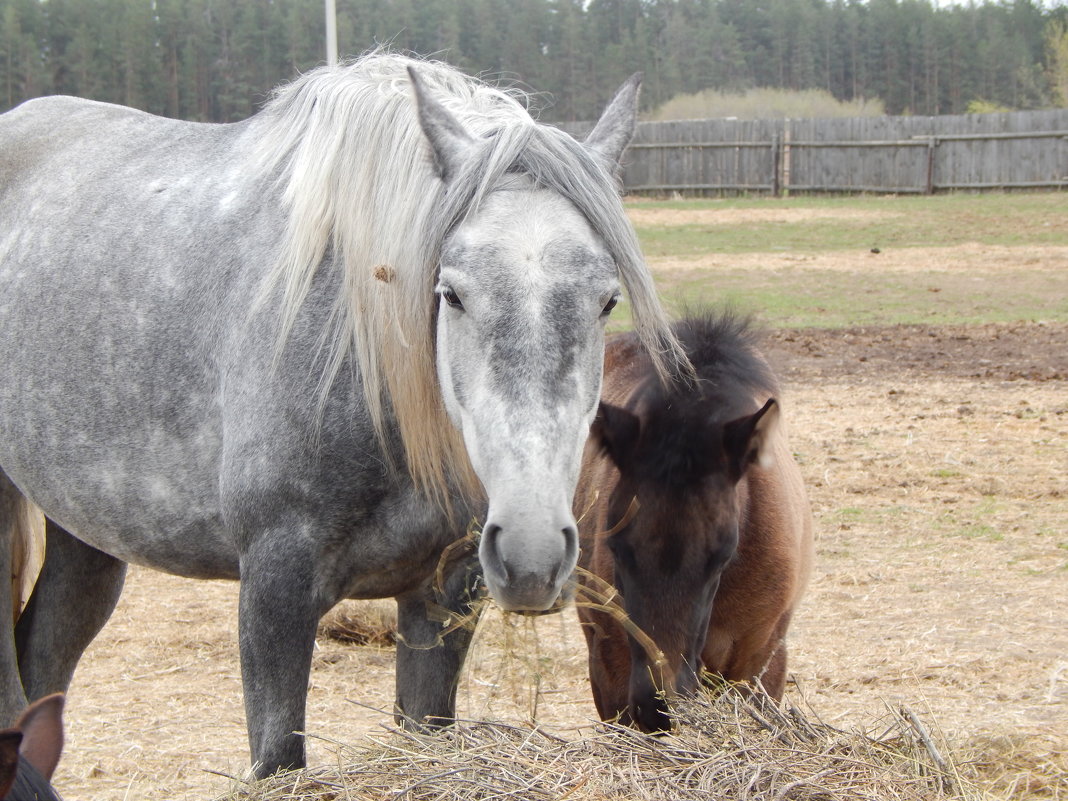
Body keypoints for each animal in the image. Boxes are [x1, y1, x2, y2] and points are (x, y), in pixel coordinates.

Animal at [0, 55, 683, 777]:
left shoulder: (444, 593)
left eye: (607, 300)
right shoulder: (274, 586)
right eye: (451, 293)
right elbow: (278, 753)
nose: (532, 553)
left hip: (86, 533)